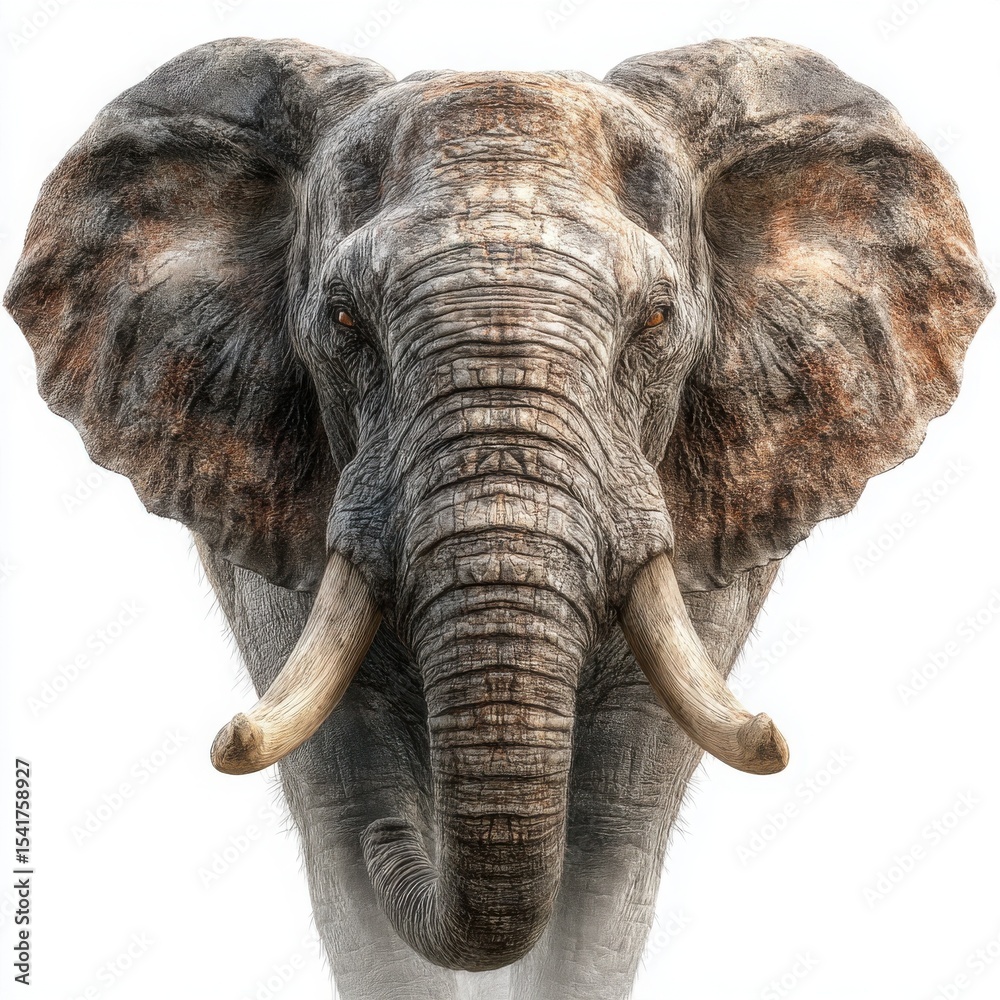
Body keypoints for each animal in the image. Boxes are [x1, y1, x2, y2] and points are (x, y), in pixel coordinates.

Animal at [5, 33, 993, 1000]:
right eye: (344, 321)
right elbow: (347, 804)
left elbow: (610, 836)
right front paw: (376, 827)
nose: (405, 844)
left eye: (656, 321)